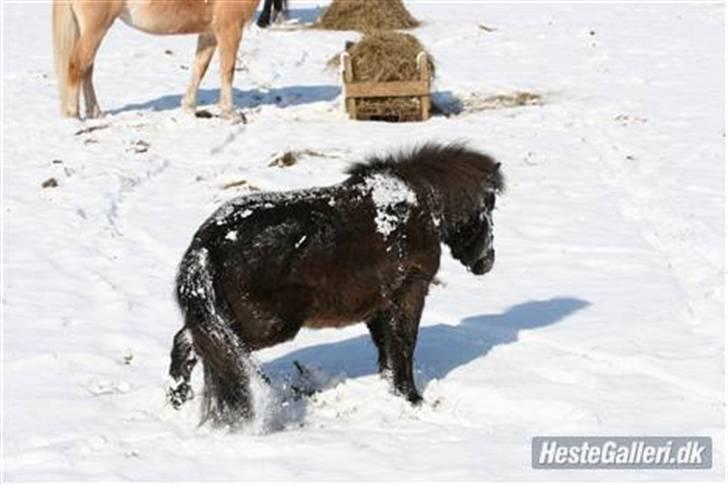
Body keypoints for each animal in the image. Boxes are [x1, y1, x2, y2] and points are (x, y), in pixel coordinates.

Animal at [52, 0, 268, 118]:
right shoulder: (229, 28)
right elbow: (227, 70)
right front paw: (230, 113)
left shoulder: (210, 33)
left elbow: (200, 68)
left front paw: (189, 106)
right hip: (96, 28)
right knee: (78, 64)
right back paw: (73, 115)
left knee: (87, 68)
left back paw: (95, 112)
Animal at [168, 141, 504, 424]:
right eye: (489, 207)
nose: (487, 263)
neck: (417, 206)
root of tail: (208, 242)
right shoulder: (409, 294)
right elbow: (404, 345)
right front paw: (412, 398)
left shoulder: (378, 306)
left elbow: (387, 351)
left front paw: (393, 391)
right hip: (265, 325)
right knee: (207, 346)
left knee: (191, 344)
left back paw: (178, 400)